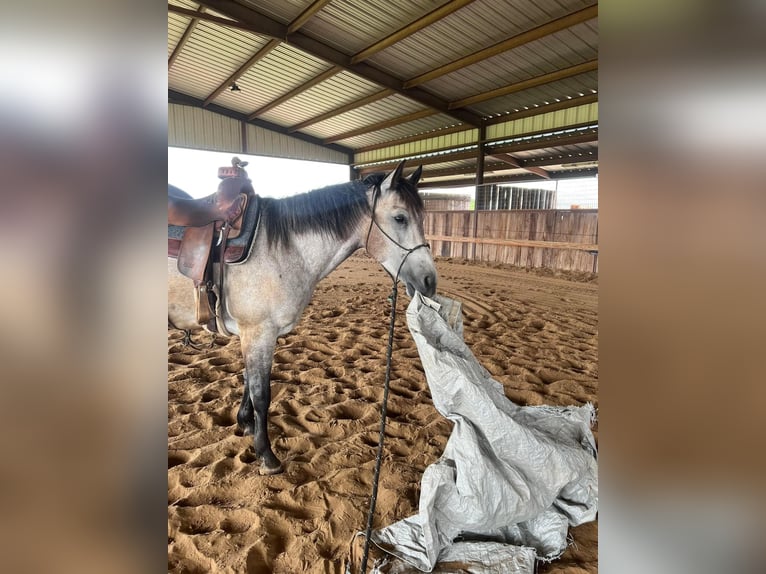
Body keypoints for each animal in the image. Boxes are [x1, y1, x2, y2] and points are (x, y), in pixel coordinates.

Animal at [171, 163, 440, 476]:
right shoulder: (259, 332)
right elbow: (261, 393)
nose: (429, 281)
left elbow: (248, 381)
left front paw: (245, 423)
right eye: (400, 217)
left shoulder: (253, 335)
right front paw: (267, 456)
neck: (279, 249)